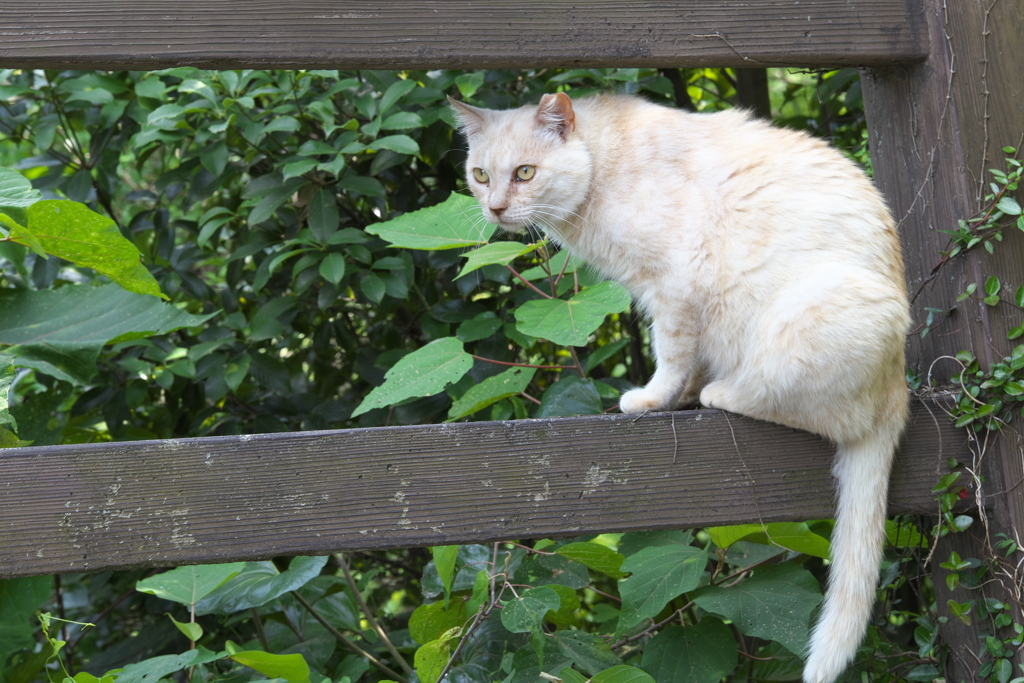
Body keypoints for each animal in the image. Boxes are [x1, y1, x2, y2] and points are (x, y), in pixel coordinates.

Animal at [452, 92, 909, 683]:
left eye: (525, 173)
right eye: (481, 175)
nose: (496, 209)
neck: (603, 168)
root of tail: (899, 388)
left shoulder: (672, 287)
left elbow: (669, 355)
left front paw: (651, 400)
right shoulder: (661, 297)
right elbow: (685, 360)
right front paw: (678, 395)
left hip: (803, 324)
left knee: (823, 414)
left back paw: (722, 394)